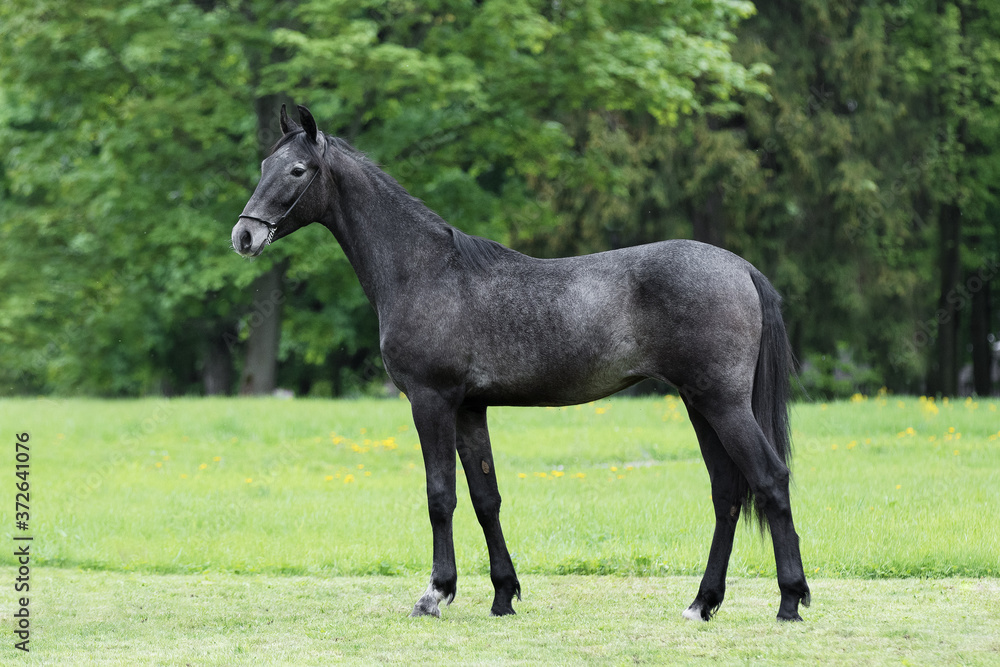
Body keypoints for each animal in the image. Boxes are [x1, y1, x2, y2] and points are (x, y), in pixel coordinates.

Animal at [231, 105, 810, 622]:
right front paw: (503, 595)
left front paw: (435, 594)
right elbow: (485, 498)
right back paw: (702, 603)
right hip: (699, 404)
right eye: (264, 165)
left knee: (770, 479)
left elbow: (440, 496)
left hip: (723, 404)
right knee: (727, 493)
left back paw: (789, 601)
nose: (245, 236)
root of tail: (741, 268)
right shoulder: (470, 409)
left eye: (297, 170)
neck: (425, 270)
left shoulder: (431, 402)